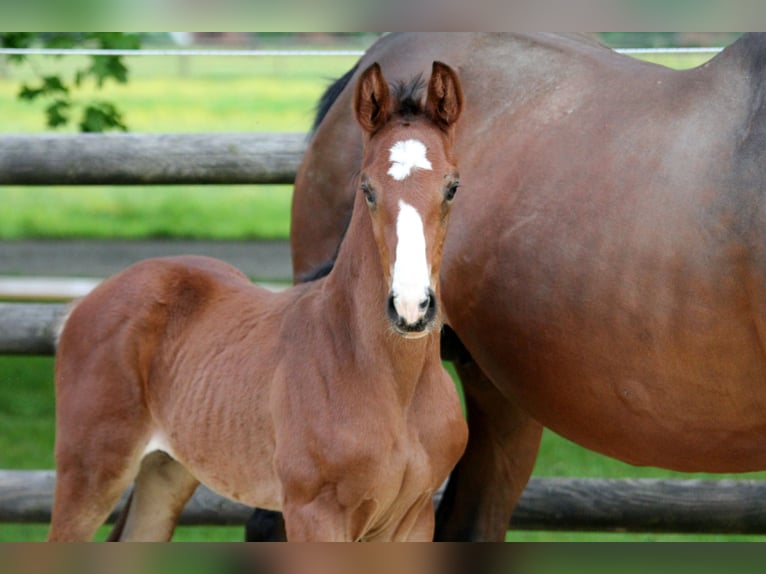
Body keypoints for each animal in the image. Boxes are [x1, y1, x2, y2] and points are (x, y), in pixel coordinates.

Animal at [48, 63, 472, 544]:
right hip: (91, 470)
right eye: (367, 188)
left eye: (452, 187)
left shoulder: (413, 519)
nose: (411, 308)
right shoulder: (313, 512)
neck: (390, 383)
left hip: (165, 472)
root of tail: (88, 300)